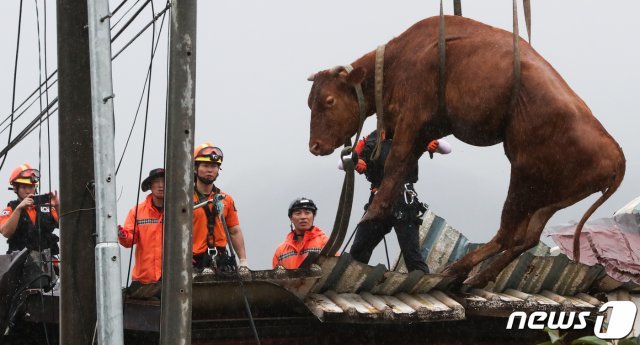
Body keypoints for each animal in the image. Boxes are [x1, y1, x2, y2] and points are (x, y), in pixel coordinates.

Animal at [306, 15, 624, 284]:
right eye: (310, 102)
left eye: (329, 101)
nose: (314, 146)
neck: (398, 60)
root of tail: (617, 155)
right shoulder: (424, 131)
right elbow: (401, 169)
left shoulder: (413, 118)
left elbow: (395, 164)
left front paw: (370, 215)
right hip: (551, 198)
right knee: (528, 238)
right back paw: (479, 277)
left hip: (525, 179)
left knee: (509, 235)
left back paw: (458, 270)